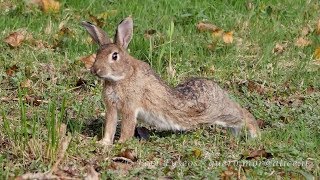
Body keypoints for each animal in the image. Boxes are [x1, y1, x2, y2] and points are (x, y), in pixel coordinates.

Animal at [81, 16, 258, 146]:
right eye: (98, 53)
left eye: (114, 56)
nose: (95, 70)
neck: (122, 77)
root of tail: (217, 89)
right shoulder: (111, 108)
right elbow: (109, 127)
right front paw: (104, 143)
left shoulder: (130, 107)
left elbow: (127, 127)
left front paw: (122, 143)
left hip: (218, 112)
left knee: (242, 114)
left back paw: (255, 134)